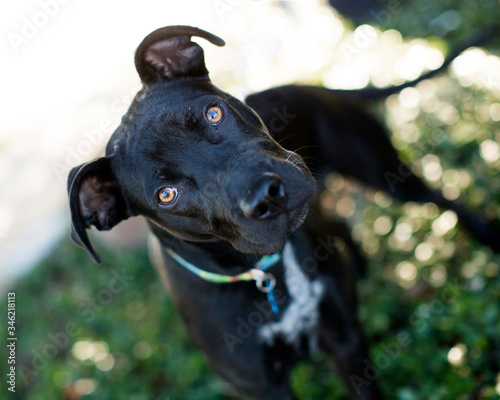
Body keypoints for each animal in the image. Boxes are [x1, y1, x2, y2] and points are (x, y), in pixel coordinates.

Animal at [67, 26, 500, 398]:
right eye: (166, 194)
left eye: (213, 113)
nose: (267, 195)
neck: (265, 275)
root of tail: (310, 86)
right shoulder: (264, 386)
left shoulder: (346, 341)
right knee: (341, 220)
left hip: (386, 174)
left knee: (444, 201)